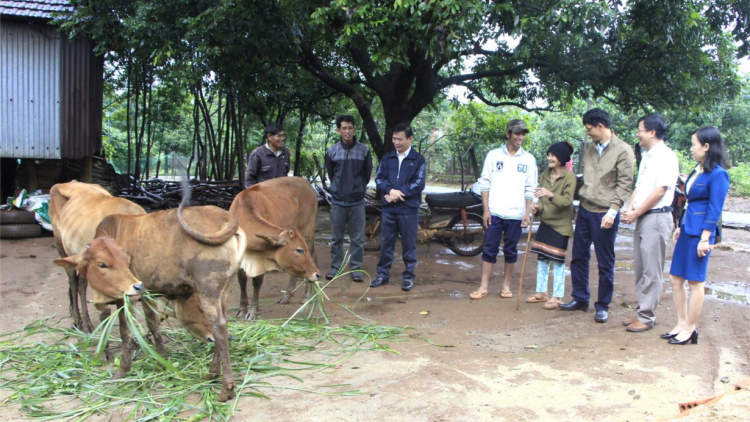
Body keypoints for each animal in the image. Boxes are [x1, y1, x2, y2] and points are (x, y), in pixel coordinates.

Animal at [231, 176, 322, 318]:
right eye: (299, 250)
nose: (317, 275)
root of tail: (306, 183)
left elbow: (256, 281)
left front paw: (253, 311)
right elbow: (242, 280)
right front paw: (242, 309)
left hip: (308, 234)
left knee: (313, 257)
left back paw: (306, 296)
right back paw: (288, 296)